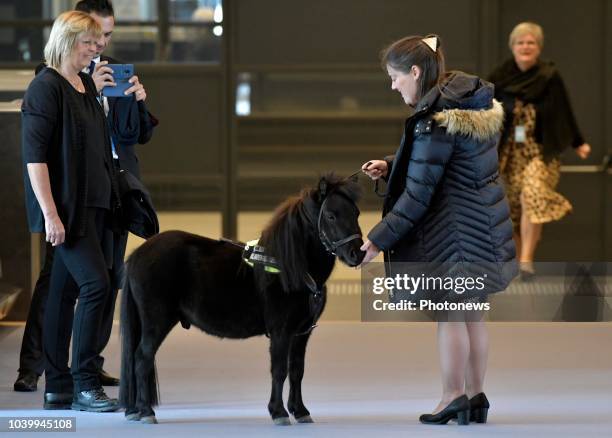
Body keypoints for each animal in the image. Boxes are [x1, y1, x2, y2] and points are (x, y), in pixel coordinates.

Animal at [122, 174, 366, 424]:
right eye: (331, 215)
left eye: (356, 213)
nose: (358, 254)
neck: (289, 268)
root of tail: (137, 254)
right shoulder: (281, 332)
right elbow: (279, 370)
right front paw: (278, 412)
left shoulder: (301, 333)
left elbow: (297, 370)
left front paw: (300, 411)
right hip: (156, 322)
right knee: (142, 358)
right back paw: (146, 411)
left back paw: (137, 410)